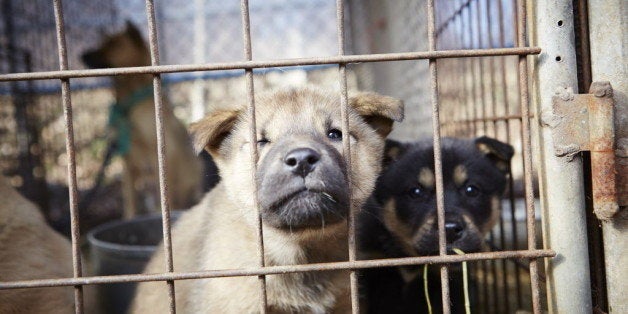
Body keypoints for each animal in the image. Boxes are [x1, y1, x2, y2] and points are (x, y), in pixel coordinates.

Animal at [82, 22, 202, 218]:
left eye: (114, 44)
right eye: (103, 42)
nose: (83, 55)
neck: (129, 105)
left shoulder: (162, 153)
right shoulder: (128, 162)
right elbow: (130, 203)